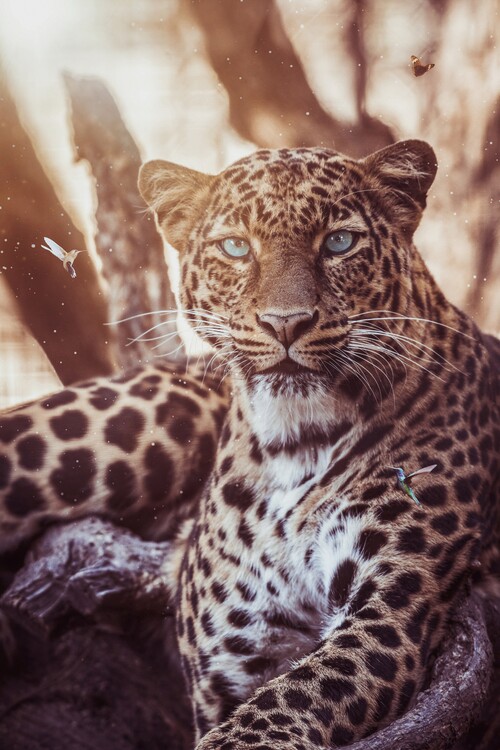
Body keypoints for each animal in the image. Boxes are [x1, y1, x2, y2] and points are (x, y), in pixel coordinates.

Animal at [1, 139, 499, 750]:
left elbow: (281, 705)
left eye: (339, 242)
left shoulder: (390, 617)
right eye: (236, 247)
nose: (286, 323)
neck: (295, 443)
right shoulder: (236, 655)